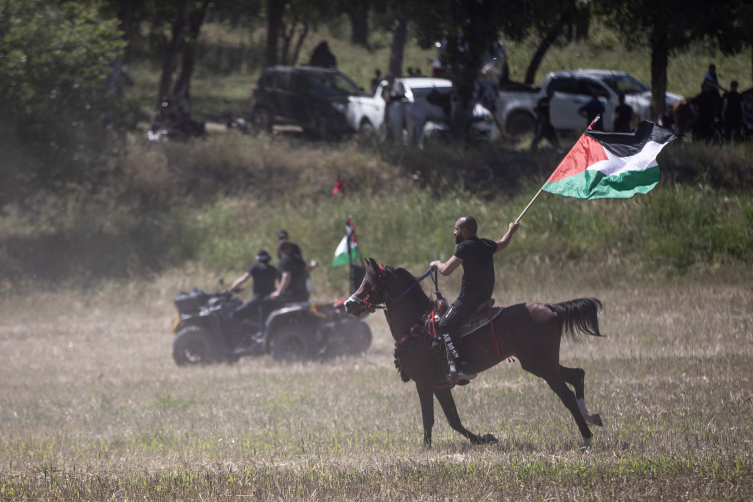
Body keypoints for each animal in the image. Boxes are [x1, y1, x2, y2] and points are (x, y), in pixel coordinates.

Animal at [344, 260, 604, 450]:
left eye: (370, 283)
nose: (348, 304)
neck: (418, 326)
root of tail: (549, 308)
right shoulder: (439, 385)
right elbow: (453, 419)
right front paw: (485, 438)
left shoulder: (424, 383)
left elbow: (430, 418)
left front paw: (426, 448)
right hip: (539, 362)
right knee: (577, 375)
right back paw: (592, 418)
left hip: (542, 364)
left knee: (567, 395)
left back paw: (586, 438)